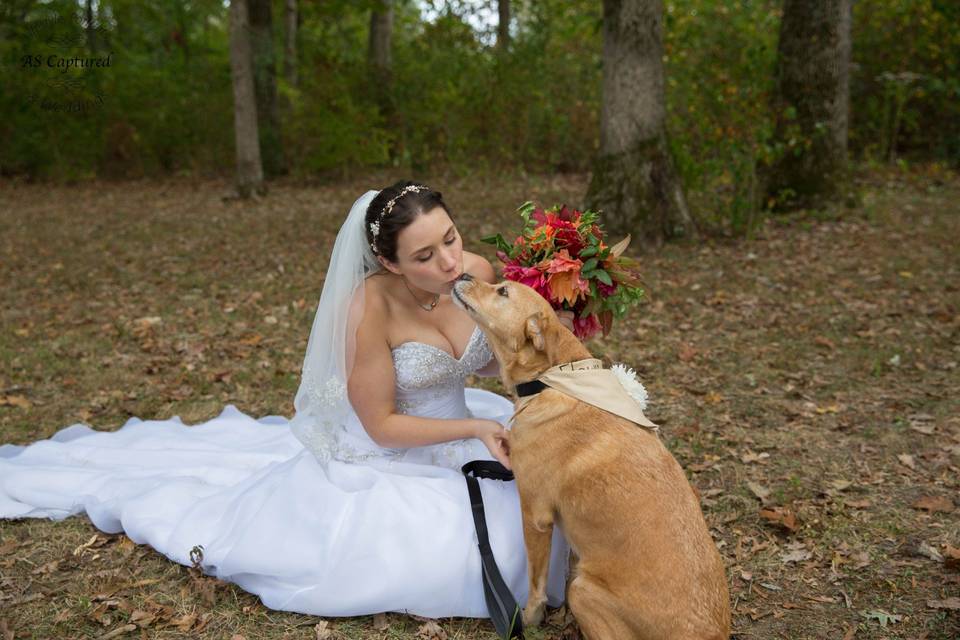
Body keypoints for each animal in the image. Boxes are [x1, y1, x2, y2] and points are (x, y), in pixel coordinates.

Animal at [450, 276, 728, 640]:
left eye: (503, 291)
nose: (463, 276)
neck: (551, 379)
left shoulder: (535, 515)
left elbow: (536, 584)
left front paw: (529, 619)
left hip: (581, 590)